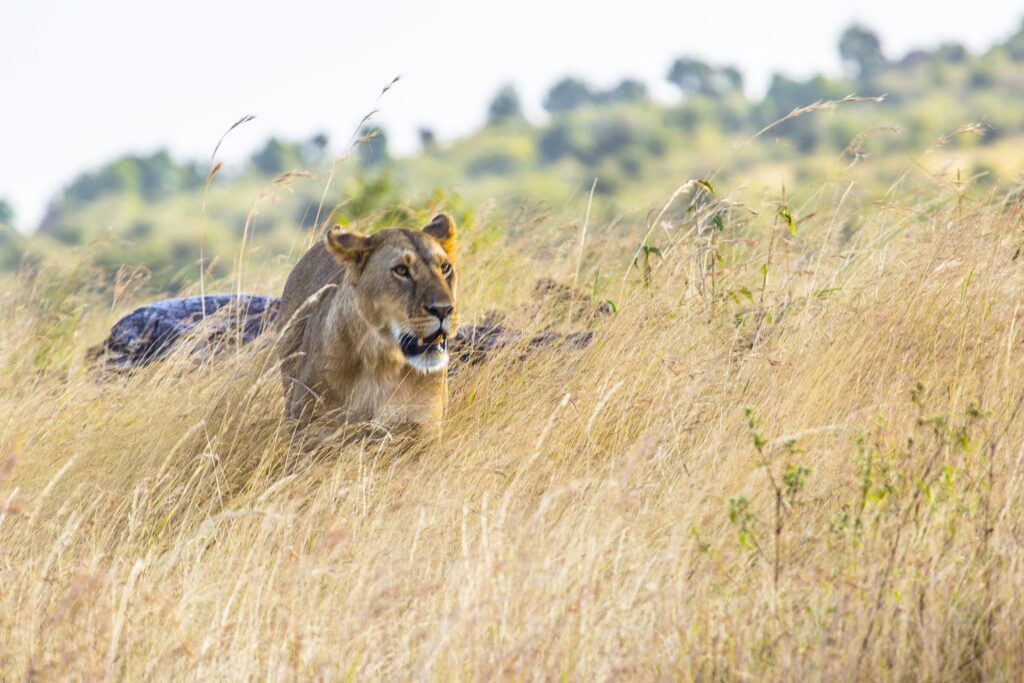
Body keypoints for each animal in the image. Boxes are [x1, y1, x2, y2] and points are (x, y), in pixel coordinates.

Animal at [276, 214, 458, 436]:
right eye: (401, 270)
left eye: (445, 268)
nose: (444, 310)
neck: (382, 363)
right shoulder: (314, 426)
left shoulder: (424, 427)